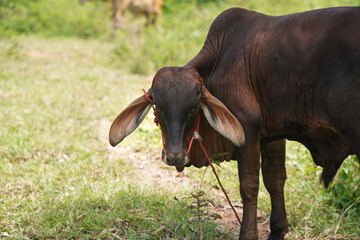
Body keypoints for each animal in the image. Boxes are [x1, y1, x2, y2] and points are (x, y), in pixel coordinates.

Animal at [109, 6, 360, 239]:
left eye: (194, 106)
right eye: (158, 106)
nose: (175, 156)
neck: (219, 59)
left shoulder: (248, 129)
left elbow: (249, 186)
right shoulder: (273, 134)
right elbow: (275, 179)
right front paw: (278, 229)